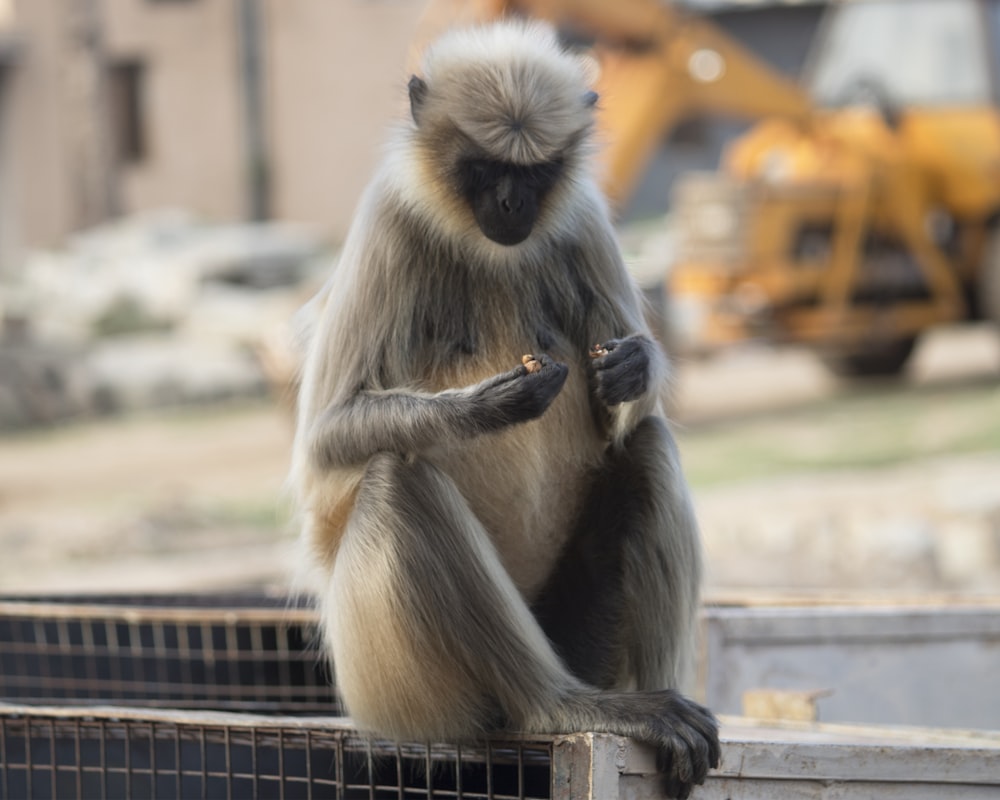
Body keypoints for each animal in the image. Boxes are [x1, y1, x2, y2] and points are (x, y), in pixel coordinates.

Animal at [290, 20, 720, 800]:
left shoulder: (583, 217)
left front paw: (634, 367)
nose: (514, 207)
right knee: (399, 480)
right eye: (485, 169)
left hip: (580, 631)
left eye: (538, 172)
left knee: (647, 442)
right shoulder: (388, 219)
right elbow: (325, 443)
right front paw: (486, 406)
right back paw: (559, 707)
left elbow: (628, 400)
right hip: (396, 688)